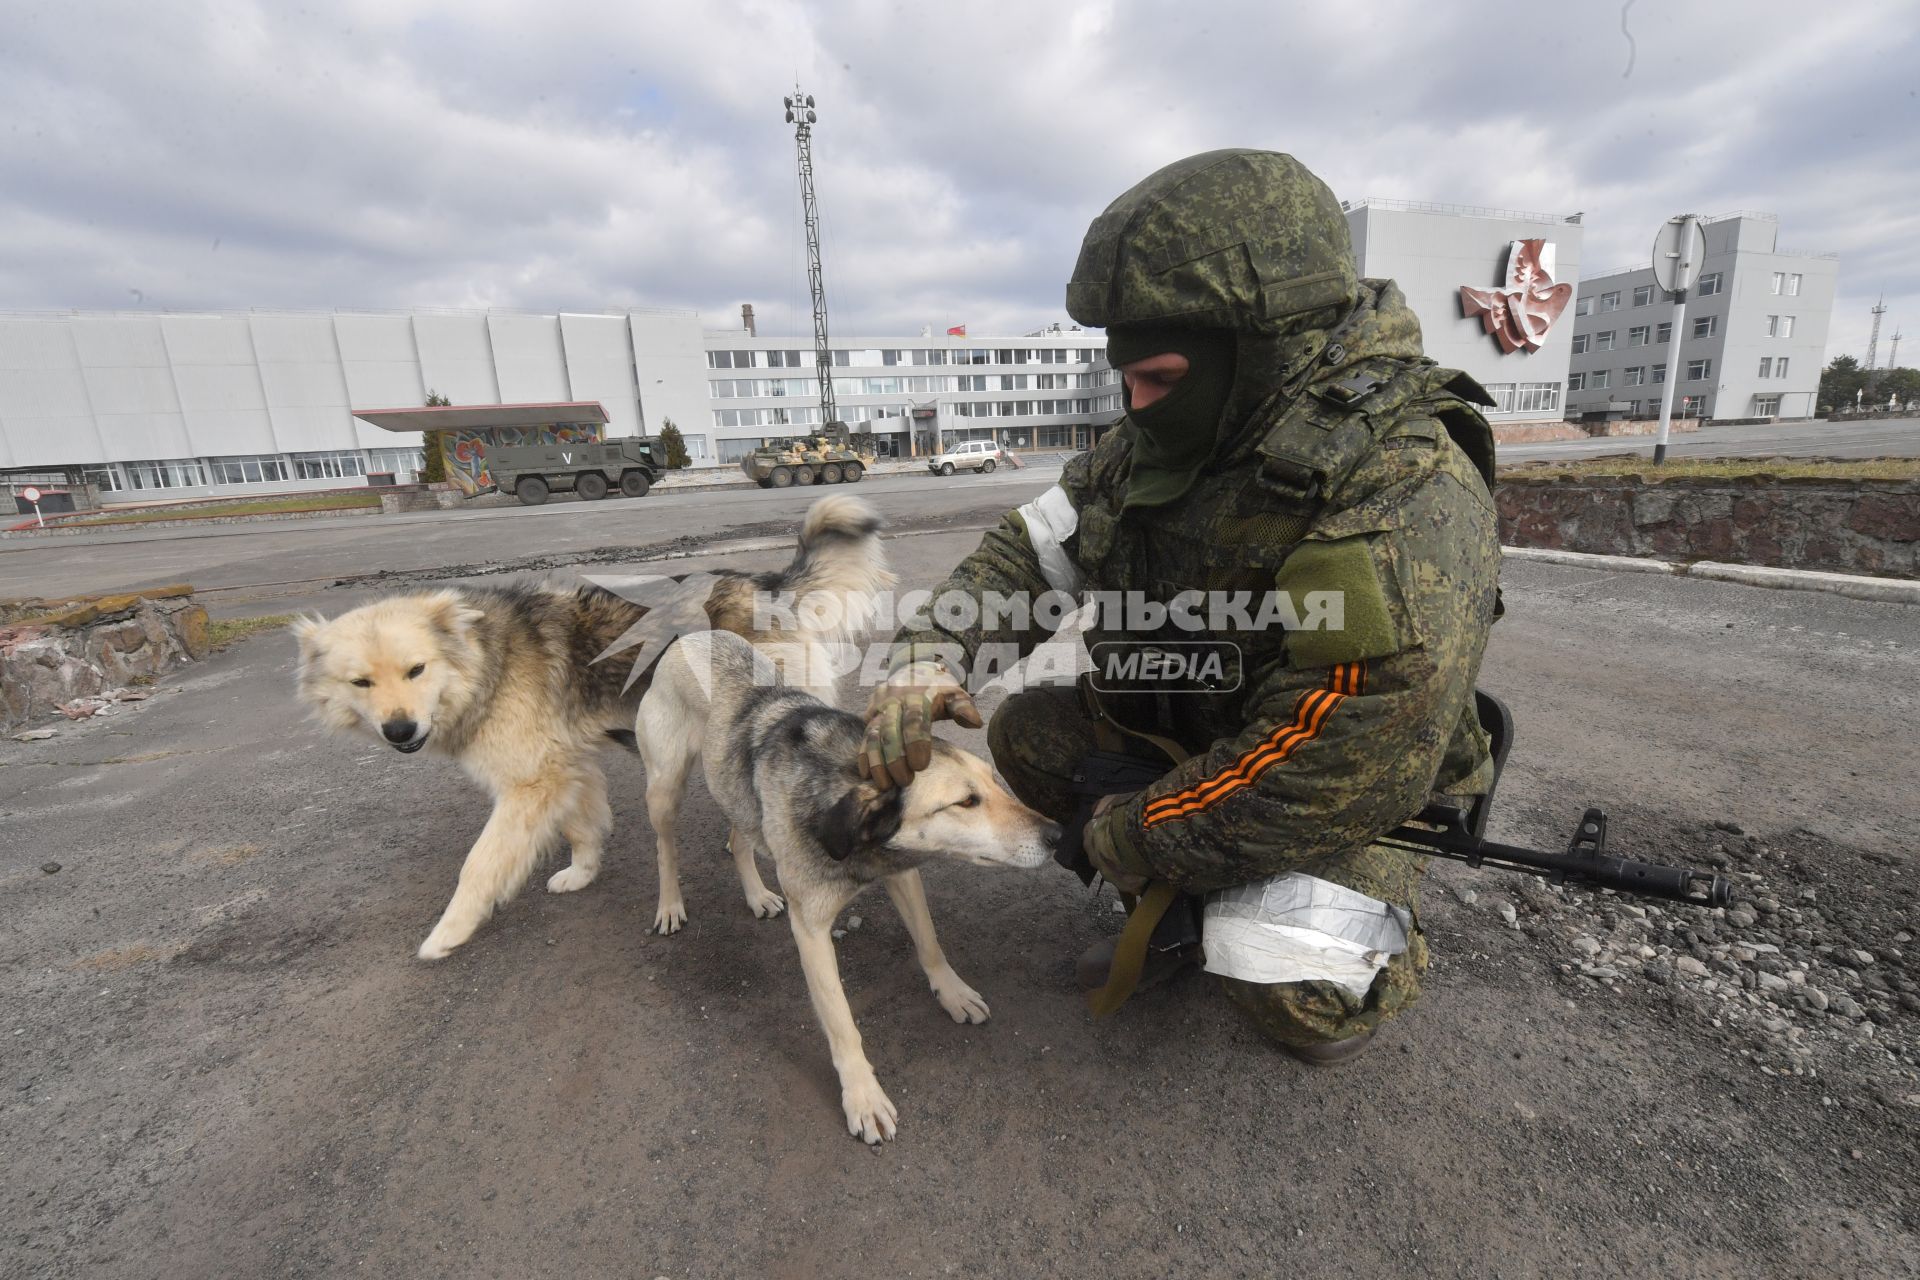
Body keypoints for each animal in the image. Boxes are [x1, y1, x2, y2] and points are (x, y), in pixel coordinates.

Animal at [291, 495, 890, 955]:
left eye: (416, 669)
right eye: (360, 683)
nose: (398, 731)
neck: (488, 658)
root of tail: (765, 584)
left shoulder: (530, 781)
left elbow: (480, 863)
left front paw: (449, 931)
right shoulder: (565, 766)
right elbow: (579, 825)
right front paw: (582, 871)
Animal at [637, 625, 1059, 1143]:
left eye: (995, 784)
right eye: (965, 802)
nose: (1058, 835)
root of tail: (693, 634)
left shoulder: (902, 874)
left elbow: (930, 943)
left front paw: (952, 992)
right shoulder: (812, 931)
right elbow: (841, 1022)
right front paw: (863, 1095)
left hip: (733, 791)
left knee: (739, 838)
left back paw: (756, 895)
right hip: (665, 789)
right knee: (665, 847)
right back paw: (670, 905)